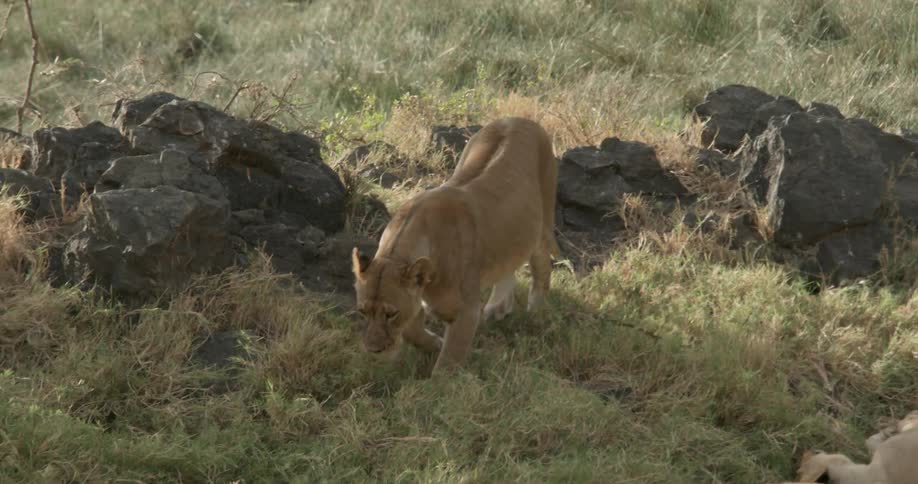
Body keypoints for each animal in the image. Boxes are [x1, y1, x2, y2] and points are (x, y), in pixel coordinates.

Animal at [351, 117, 559, 374]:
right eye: (362, 311)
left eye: (391, 314)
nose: (374, 350)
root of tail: (517, 118)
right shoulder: (417, 297)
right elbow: (411, 331)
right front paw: (434, 343)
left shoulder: (465, 311)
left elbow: (449, 361)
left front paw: (440, 381)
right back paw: (498, 307)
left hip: (542, 223)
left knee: (542, 267)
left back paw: (535, 314)